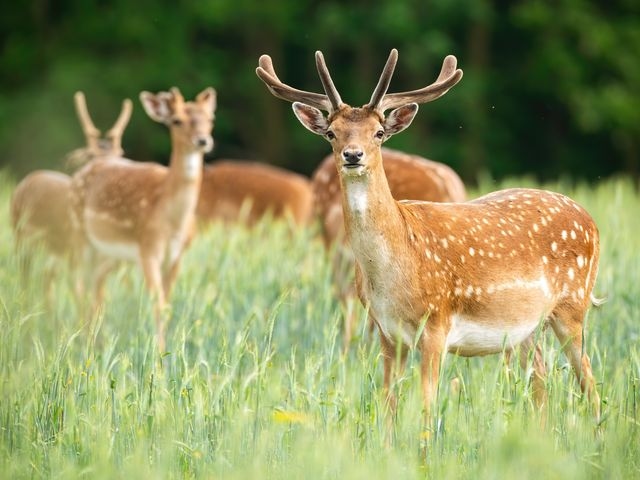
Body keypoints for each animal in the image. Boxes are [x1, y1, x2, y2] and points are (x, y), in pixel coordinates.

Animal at [10, 90, 132, 294]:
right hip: (21, 235)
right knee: (26, 275)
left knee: (46, 278)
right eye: (90, 155)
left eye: (120, 153)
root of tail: (26, 180)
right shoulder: (77, 252)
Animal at [69, 87, 216, 348]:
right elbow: (156, 305)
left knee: (95, 285)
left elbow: (167, 305)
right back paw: (83, 342)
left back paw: (95, 341)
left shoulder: (177, 256)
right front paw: (159, 354)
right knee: (78, 283)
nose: (202, 141)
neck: (172, 221)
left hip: (110, 255)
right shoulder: (148, 248)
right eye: (176, 120)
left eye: (210, 119)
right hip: (79, 235)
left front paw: (167, 351)